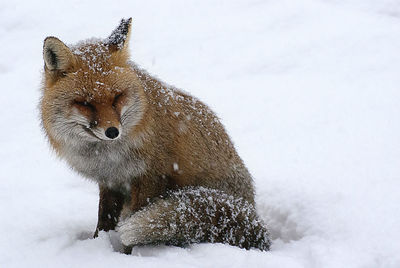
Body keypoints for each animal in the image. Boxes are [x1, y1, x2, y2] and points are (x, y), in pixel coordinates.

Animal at [40, 18, 270, 251]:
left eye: (117, 97)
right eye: (85, 104)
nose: (112, 131)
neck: (109, 156)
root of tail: (251, 212)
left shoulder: (151, 178)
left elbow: (132, 218)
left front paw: (126, 254)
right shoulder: (111, 182)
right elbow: (104, 220)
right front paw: (100, 245)